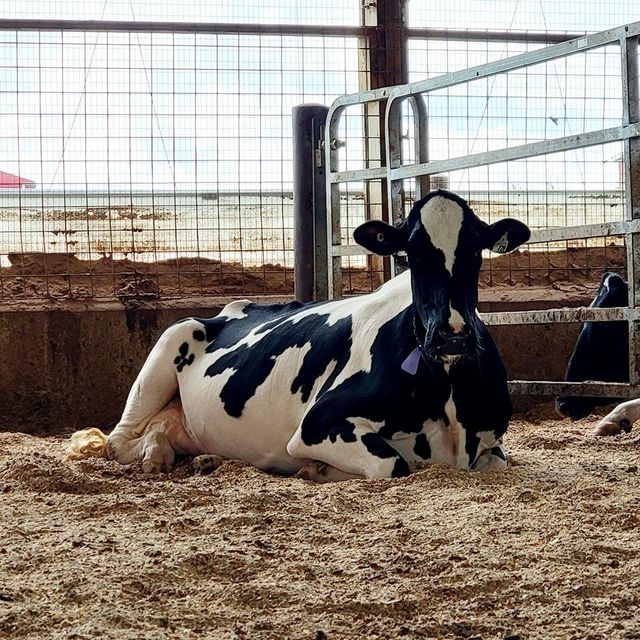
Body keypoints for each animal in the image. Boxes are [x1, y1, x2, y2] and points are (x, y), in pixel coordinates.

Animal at [70, 190, 530, 481]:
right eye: (412, 254)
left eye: (475, 251)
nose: (452, 336)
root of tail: (233, 307)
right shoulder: (318, 424)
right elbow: (393, 464)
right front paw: (319, 469)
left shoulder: (490, 445)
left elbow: (499, 462)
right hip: (168, 345)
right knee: (118, 441)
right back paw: (154, 457)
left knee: (163, 429)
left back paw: (190, 456)